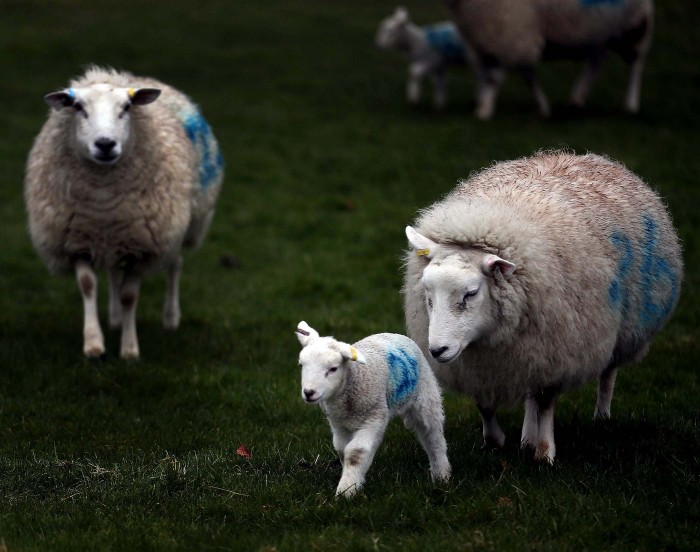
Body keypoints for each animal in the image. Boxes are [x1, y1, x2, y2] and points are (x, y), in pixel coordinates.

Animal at [25, 67, 221, 360]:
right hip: (114, 240)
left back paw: (170, 319)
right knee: (113, 273)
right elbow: (88, 285)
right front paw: (94, 344)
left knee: (175, 264)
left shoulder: (143, 247)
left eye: (127, 107)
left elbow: (130, 296)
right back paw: (115, 318)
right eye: (78, 107)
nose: (105, 144)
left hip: (179, 227)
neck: (104, 204)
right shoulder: (77, 241)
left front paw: (129, 350)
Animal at [294, 320, 448, 496]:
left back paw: (441, 475)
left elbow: (356, 452)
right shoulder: (338, 424)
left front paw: (346, 490)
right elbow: (342, 450)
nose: (309, 392)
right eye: (301, 365)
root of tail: (393, 334)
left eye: (333, 368)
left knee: (433, 436)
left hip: (426, 397)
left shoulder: (374, 418)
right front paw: (354, 481)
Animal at [402, 150, 680, 462]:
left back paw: (600, 417)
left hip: (620, 329)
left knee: (607, 373)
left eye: (471, 293)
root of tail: (585, 156)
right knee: (530, 394)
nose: (437, 350)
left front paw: (545, 453)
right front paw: (495, 441)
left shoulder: (554, 351)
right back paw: (526, 436)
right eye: (427, 293)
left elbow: (546, 402)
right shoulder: (482, 363)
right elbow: (485, 403)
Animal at [442, 0, 656, 119]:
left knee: (635, 63)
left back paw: (631, 104)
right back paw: (577, 97)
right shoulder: (492, 36)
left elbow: (494, 77)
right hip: (598, 29)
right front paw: (543, 107)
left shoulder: (511, 32)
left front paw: (483, 110)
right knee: (598, 60)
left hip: (634, 26)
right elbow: (525, 74)